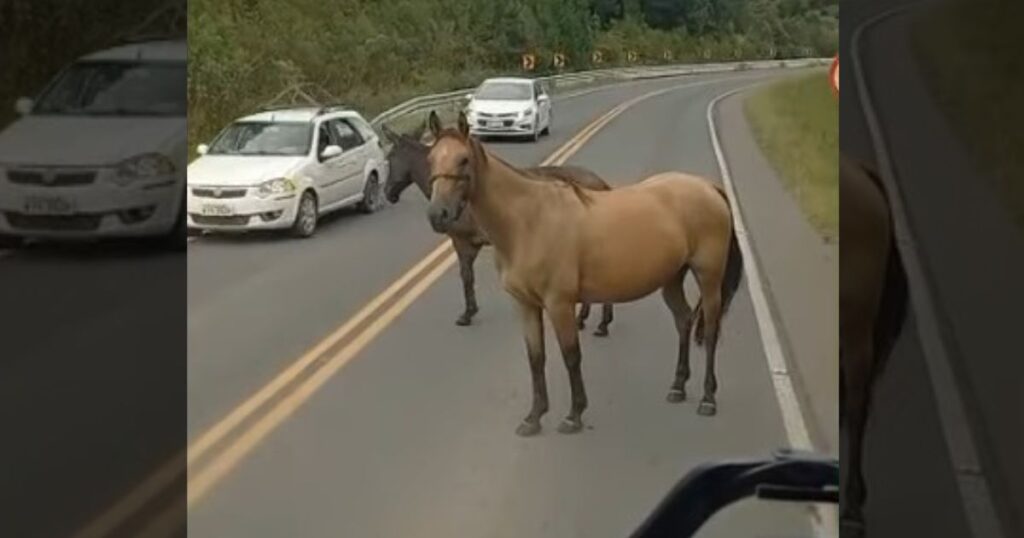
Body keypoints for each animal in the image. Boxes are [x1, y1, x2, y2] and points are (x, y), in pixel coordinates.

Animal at [378, 119, 610, 334]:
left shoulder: (462, 241)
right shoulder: (472, 244)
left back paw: (601, 323)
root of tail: (601, 183)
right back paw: (586, 319)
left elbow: (466, 277)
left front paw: (467, 314)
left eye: (389, 158)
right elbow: (468, 277)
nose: (388, 193)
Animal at [423, 111, 745, 434]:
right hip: (672, 279)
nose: (438, 215)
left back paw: (707, 399)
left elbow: (571, 356)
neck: (527, 222)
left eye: (464, 159)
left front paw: (573, 415)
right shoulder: (525, 305)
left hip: (708, 277)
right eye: (431, 158)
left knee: (711, 330)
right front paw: (534, 417)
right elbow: (536, 358)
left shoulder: (560, 304)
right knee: (684, 320)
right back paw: (678, 386)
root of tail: (708, 187)